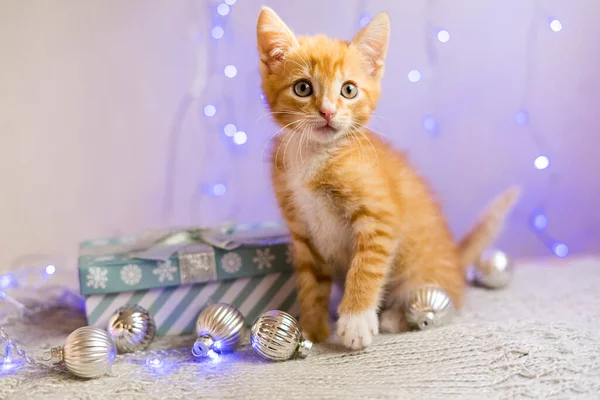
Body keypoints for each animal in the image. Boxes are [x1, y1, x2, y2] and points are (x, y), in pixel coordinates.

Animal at [255, 7, 516, 350]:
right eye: (303, 88)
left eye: (348, 90)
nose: (327, 112)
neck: (316, 155)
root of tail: (457, 264)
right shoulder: (303, 232)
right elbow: (311, 284)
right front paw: (311, 331)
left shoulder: (379, 217)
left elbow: (365, 268)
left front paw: (355, 320)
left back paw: (394, 317)